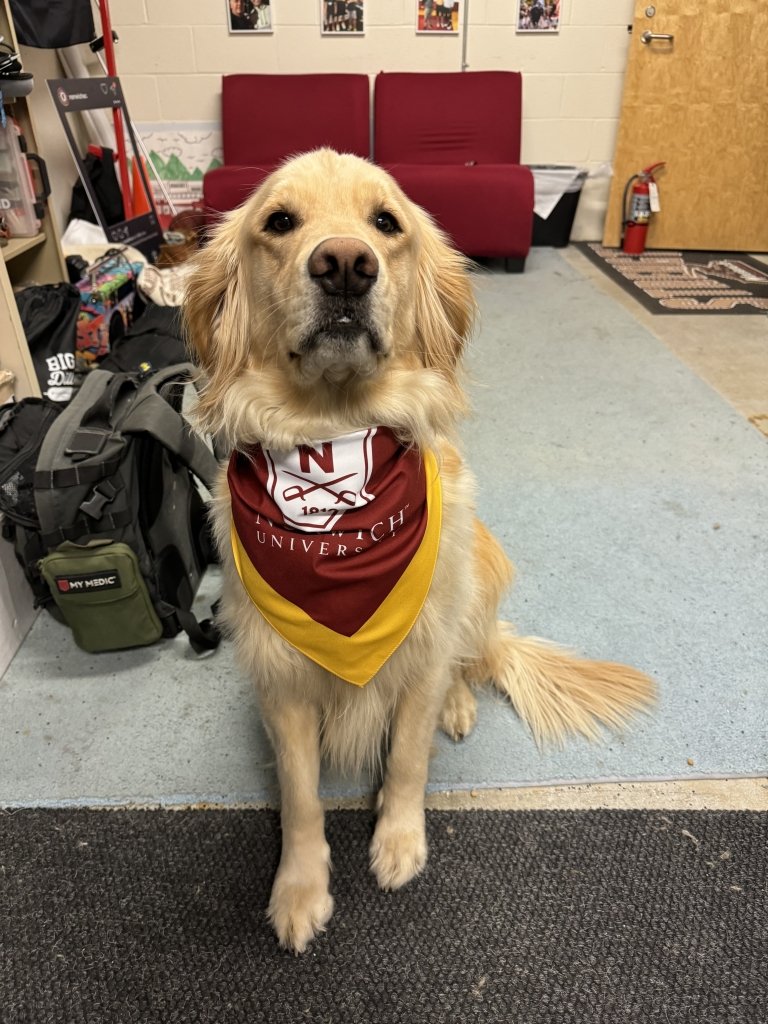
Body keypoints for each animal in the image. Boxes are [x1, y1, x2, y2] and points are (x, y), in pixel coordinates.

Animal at [185, 149, 655, 950]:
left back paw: (458, 705)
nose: (346, 265)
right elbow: (301, 794)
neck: (333, 432)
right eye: (279, 221)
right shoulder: (282, 678)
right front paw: (300, 889)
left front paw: (400, 841)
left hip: (475, 571)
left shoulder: (421, 642)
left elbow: (406, 753)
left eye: (386, 222)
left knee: (469, 661)